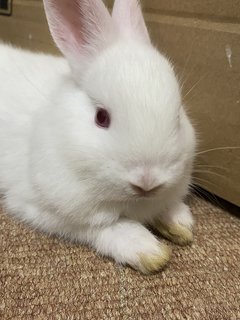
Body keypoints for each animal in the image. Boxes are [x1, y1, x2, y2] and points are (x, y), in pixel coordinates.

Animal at [0, 0, 196, 274]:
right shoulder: (39, 207)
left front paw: (180, 223)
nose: (147, 182)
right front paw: (148, 251)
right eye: (101, 117)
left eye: (177, 116)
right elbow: (103, 228)